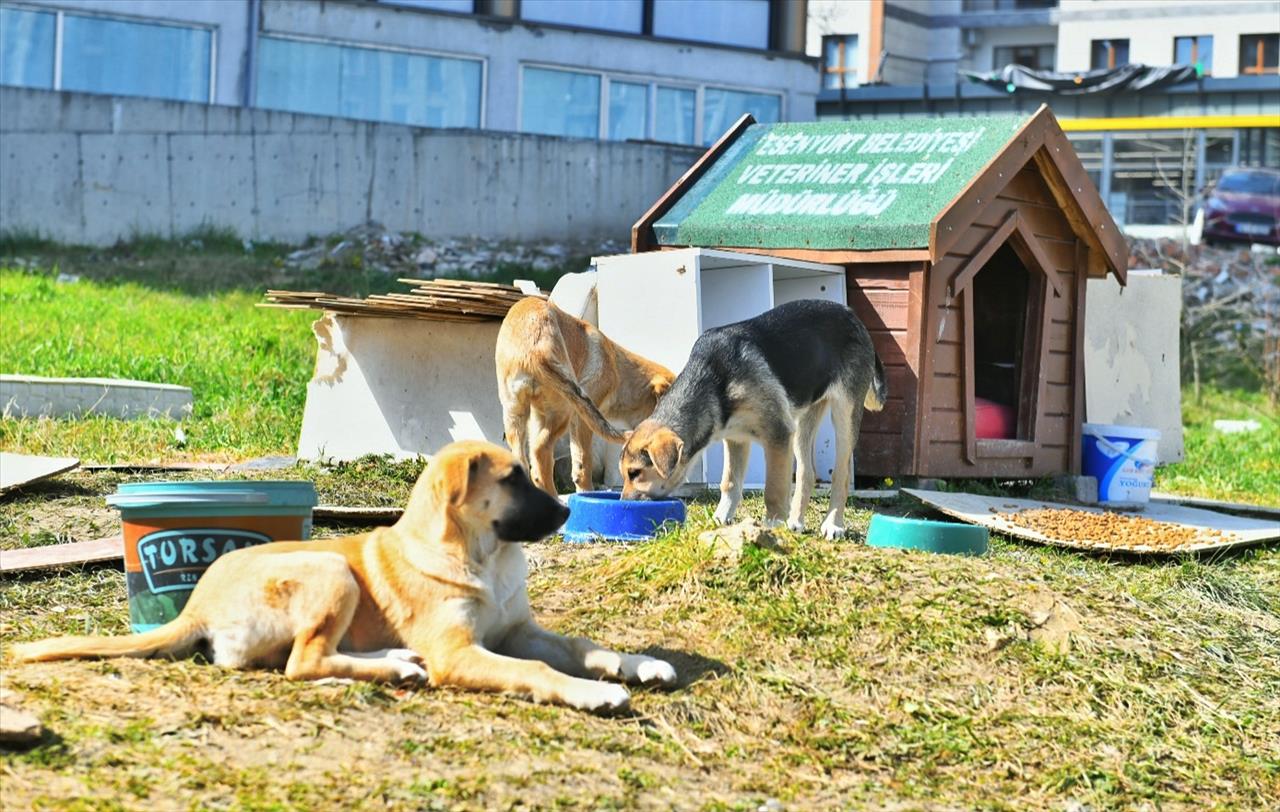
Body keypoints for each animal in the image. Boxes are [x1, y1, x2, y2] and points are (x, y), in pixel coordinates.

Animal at [12, 440, 680, 712]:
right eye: (513, 478)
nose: (569, 512)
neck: (482, 557)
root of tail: (197, 603)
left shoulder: (519, 631)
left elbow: (580, 644)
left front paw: (638, 664)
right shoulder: (459, 652)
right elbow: (541, 671)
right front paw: (595, 693)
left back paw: (395, 660)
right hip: (330, 568)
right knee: (301, 663)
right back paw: (390, 667)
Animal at [494, 294, 675, 489]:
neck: (618, 368)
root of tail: (537, 347)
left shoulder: (539, 416)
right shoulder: (581, 421)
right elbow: (583, 465)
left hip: (515, 415)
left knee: (525, 459)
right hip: (562, 411)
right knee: (541, 452)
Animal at [616, 297, 880, 537]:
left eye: (635, 473)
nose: (622, 503)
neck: (713, 381)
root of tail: (850, 313)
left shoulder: (777, 435)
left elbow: (774, 489)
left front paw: (772, 523)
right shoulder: (736, 439)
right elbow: (730, 482)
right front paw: (721, 517)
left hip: (844, 412)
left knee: (841, 474)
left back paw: (833, 525)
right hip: (804, 420)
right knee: (807, 472)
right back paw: (796, 521)